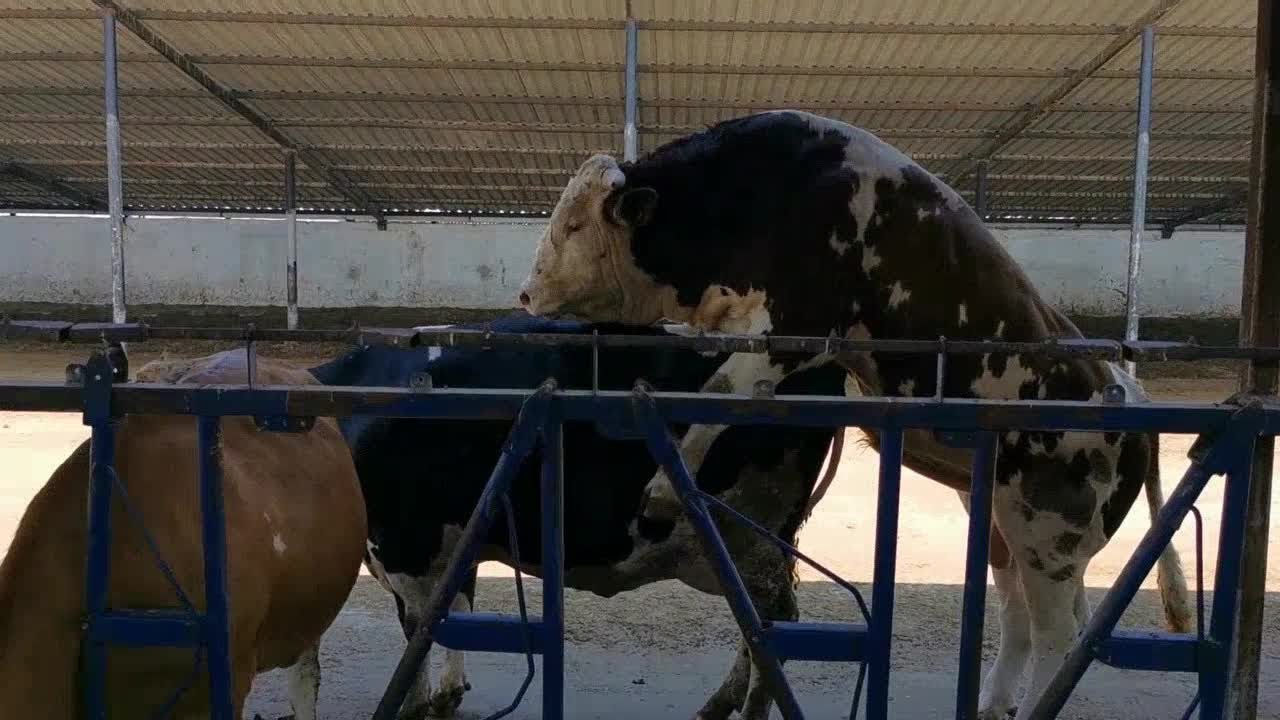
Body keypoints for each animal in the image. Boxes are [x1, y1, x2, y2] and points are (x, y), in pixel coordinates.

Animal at [308, 313, 847, 720]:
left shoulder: (406, 547)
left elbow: (421, 629)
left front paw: (417, 704)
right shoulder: (452, 538)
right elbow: (454, 608)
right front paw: (448, 694)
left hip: (748, 534)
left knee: (770, 624)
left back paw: (747, 709)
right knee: (757, 627)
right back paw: (718, 705)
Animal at [516, 110, 1192, 720]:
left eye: (573, 224)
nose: (526, 293)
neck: (770, 192)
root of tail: (1121, 388)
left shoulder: (795, 329)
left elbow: (717, 393)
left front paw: (661, 492)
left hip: (1053, 535)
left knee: (1059, 636)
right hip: (1003, 521)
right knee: (1017, 612)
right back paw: (993, 701)